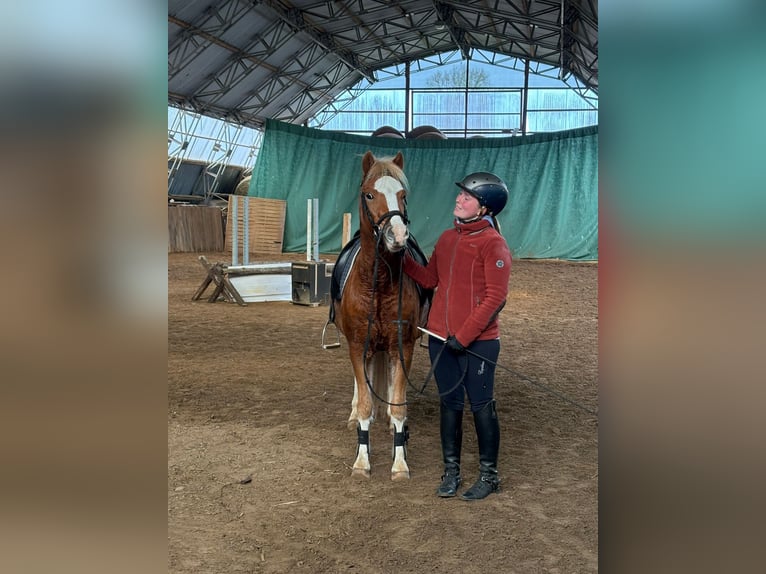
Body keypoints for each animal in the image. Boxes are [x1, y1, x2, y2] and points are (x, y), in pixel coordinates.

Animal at [330, 150, 429, 480]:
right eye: (370, 194)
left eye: (403, 195)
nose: (397, 235)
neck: (379, 283)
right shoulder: (358, 345)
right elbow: (363, 402)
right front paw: (362, 461)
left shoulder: (403, 346)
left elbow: (398, 406)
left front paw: (399, 464)